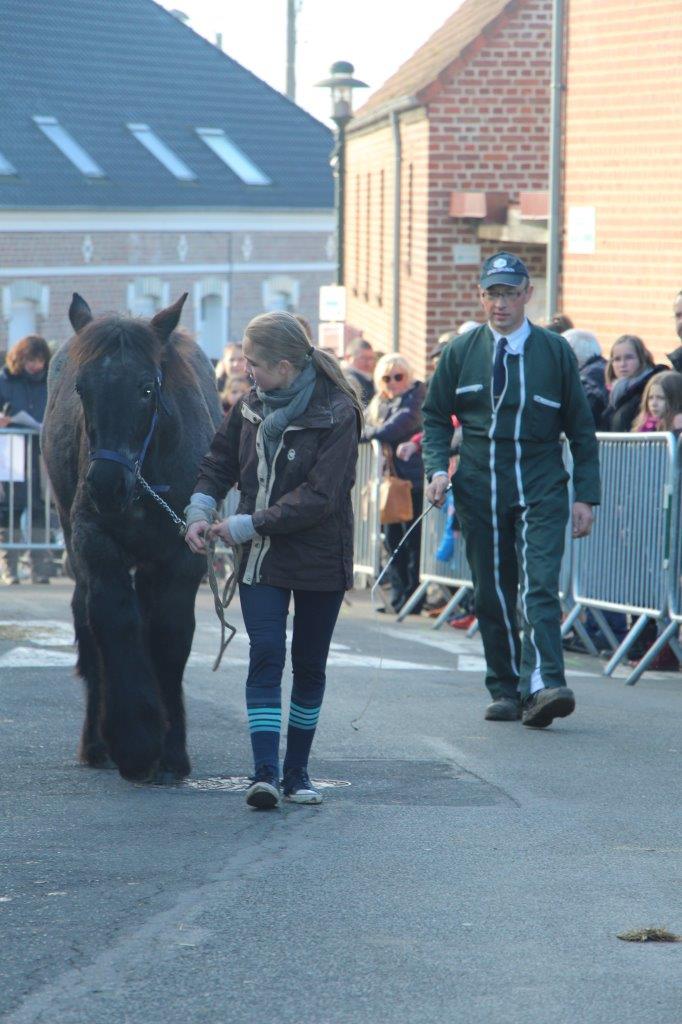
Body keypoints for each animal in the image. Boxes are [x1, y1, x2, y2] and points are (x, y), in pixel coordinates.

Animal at [41, 296, 220, 782]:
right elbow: (115, 622)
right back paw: (96, 743)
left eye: (146, 389)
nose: (105, 484)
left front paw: (171, 751)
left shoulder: (182, 556)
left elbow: (169, 636)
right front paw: (136, 740)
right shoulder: (95, 543)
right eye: (82, 388)